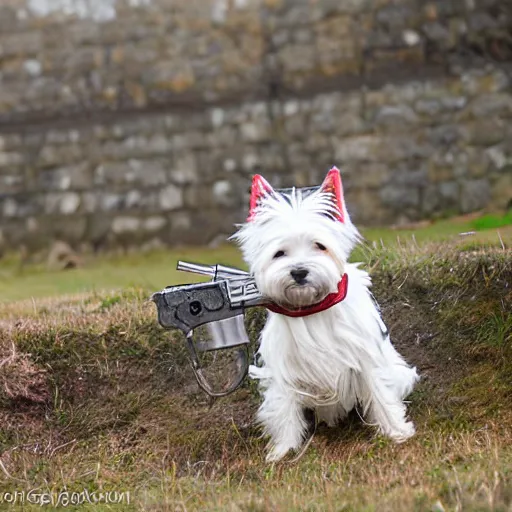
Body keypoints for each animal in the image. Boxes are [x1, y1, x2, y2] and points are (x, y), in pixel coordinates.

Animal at [230, 167, 418, 460]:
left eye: (319, 245)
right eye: (279, 253)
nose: (299, 272)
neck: (312, 308)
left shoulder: (365, 357)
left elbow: (380, 392)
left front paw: (396, 431)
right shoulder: (283, 371)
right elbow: (284, 409)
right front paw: (284, 450)